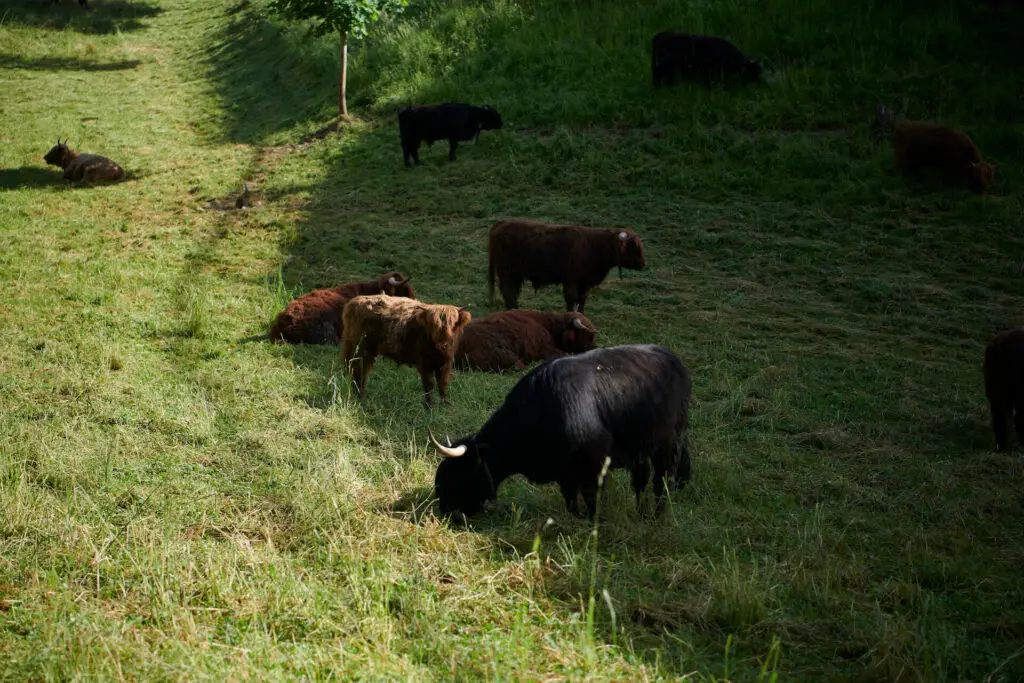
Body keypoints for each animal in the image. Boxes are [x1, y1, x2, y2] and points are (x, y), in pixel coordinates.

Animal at [342, 292, 473, 405]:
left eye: (453, 324)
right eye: (432, 326)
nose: (441, 345)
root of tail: (355, 301)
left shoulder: (445, 363)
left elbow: (443, 384)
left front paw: (444, 405)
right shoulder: (424, 362)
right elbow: (429, 384)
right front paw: (429, 406)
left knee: (362, 370)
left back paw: (361, 395)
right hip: (360, 348)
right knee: (357, 370)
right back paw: (359, 396)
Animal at [428, 344, 692, 520]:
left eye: (458, 475)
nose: (447, 513)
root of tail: (672, 358)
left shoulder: (594, 466)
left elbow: (593, 499)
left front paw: (595, 523)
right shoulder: (564, 472)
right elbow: (571, 501)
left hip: (670, 443)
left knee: (663, 481)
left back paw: (657, 515)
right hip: (640, 446)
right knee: (641, 479)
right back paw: (640, 512)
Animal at [485, 219, 643, 313]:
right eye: (633, 246)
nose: (643, 263)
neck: (593, 245)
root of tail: (502, 223)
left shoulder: (585, 283)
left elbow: (582, 300)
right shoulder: (571, 280)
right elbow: (572, 299)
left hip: (515, 274)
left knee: (512, 292)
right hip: (507, 271)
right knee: (508, 292)